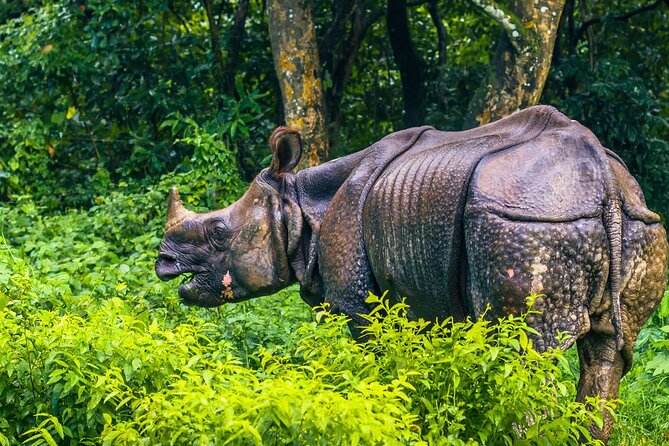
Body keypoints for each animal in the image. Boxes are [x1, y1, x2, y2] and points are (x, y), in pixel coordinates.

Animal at [155, 105, 667, 442]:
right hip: (637, 223)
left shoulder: (359, 306)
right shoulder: (421, 295)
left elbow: (379, 364)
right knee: (607, 353)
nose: (163, 263)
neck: (300, 205)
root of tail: (603, 178)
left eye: (219, 233)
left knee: (523, 354)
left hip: (525, 221)